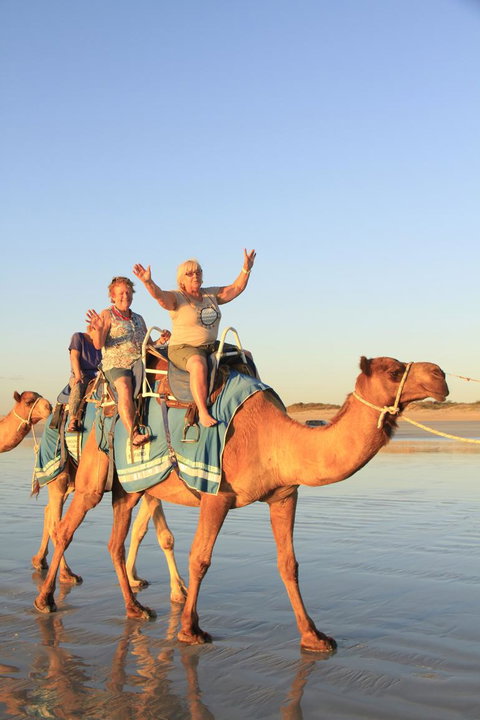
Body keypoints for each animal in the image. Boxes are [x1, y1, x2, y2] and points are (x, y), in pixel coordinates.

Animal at [34, 356, 448, 653]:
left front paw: (314, 636)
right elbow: (200, 559)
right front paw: (190, 629)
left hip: (129, 486)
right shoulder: (216, 494)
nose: (440, 374)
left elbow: (289, 565)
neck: (275, 437)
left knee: (114, 542)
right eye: (394, 370)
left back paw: (135, 608)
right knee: (67, 527)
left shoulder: (285, 495)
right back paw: (45, 599)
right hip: (94, 469)